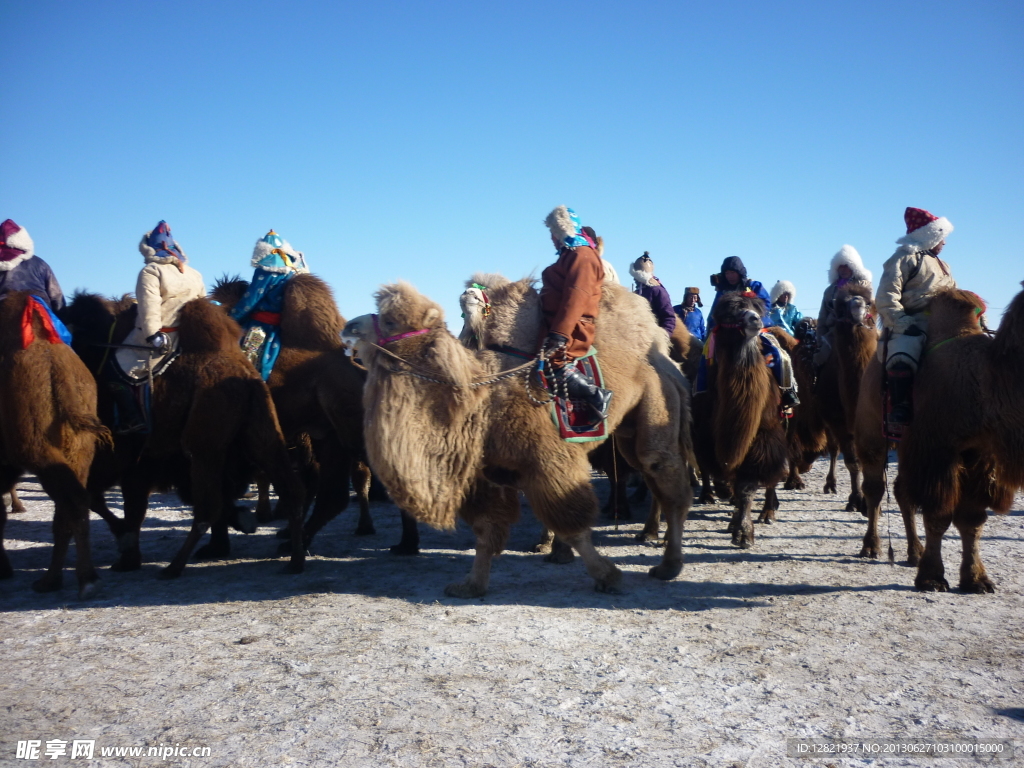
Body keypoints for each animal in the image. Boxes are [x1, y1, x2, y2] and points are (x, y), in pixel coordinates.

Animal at [0, 290, 111, 598]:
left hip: (40, 454)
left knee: (70, 503)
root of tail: (55, 366)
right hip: (78, 452)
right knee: (72, 507)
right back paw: (54, 579)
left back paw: (85, 581)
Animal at [60, 292, 303, 577]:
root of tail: (245, 376)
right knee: (288, 490)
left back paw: (173, 567)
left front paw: (126, 553)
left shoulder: (124, 456)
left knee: (207, 507)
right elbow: (122, 504)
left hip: (201, 448)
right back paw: (294, 560)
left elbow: (105, 500)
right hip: (260, 436)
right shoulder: (142, 461)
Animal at [348, 280, 692, 598]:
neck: (481, 403)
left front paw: (607, 575)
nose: (351, 326)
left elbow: (574, 526)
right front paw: (471, 585)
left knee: (665, 479)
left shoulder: (548, 460)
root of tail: (666, 361)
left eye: (390, 321)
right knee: (653, 479)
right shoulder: (485, 475)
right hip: (627, 434)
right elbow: (486, 531)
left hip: (655, 405)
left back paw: (668, 564)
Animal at [692, 290, 786, 548]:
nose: (755, 320)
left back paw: (768, 512)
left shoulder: (763, 436)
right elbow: (722, 475)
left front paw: (744, 533)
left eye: (758, 308)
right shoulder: (706, 436)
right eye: (728, 314)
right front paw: (735, 521)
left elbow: (747, 485)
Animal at [897, 288, 1024, 593]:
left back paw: (913, 553)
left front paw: (976, 580)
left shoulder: (981, 455)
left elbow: (972, 521)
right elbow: (938, 515)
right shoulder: (936, 451)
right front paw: (931, 577)